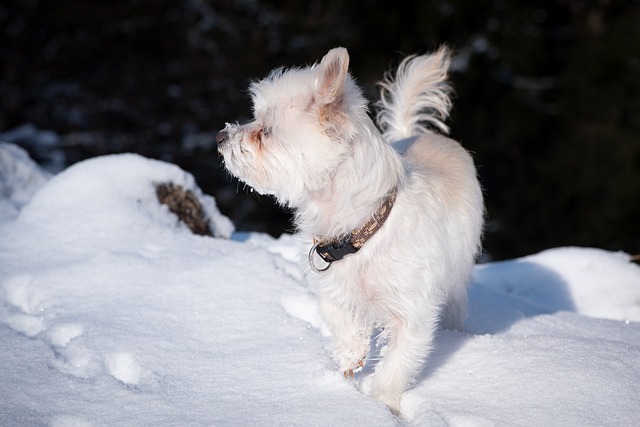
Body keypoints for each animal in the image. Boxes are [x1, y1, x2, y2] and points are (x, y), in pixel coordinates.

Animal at [218, 46, 482, 414]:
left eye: (265, 132)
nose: (220, 136)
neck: (363, 228)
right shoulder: (332, 285)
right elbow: (337, 316)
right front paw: (350, 356)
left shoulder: (412, 313)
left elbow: (397, 365)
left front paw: (383, 406)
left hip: (456, 284)